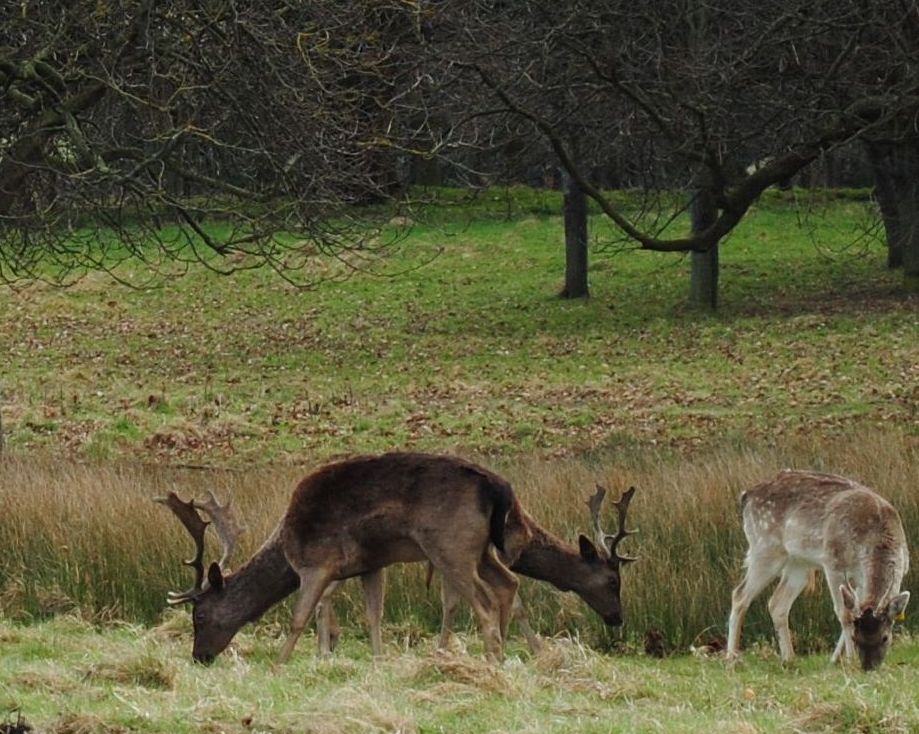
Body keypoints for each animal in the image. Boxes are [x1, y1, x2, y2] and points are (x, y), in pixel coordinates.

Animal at [158, 454, 528, 668]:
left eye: (200, 615)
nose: (199, 657)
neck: (286, 543)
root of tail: (500, 487)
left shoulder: (316, 563)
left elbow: (299, 618)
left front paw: (279, 664)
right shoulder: (370, 564)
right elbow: (373, 615)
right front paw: (378, 664)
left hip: (450, 545)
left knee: (485, 600)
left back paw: (492, 661)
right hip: (481, 550)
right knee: (508, 583)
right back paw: (504, 657)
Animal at [316, 486, 640, 660]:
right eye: (613, 580)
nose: (618, 618)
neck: (523, 539)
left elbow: (451, 604)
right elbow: (512, 605)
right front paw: (537, 650)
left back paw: (329, 643)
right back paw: (325, 646)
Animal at [724, 472, 912, 672]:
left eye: (886, 637)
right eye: (856, 637)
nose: (869, 667)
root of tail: (746, 495)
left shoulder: (860, 578)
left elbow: (853, 608)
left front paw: (835, 659)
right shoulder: (832, 562)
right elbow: (844, 613)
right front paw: (850, 660)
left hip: (799, 563)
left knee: (777, 603)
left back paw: (789, 659)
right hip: (765, 547)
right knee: (739, 594)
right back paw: (732, 660)